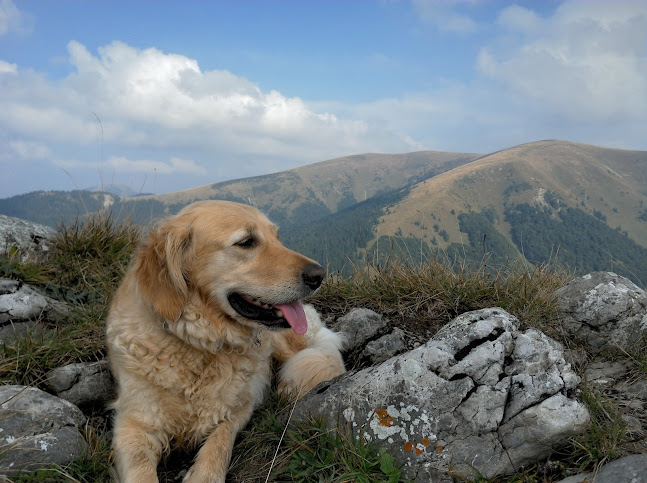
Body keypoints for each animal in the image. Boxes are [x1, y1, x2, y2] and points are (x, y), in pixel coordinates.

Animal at [105, 199, 346, 482]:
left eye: (276, 237)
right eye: (246, 242)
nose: (319, 274)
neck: (199, 342)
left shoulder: (240, 404)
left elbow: (220, 442)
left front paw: (204, 474)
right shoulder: (132, 423)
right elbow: (140, 470)